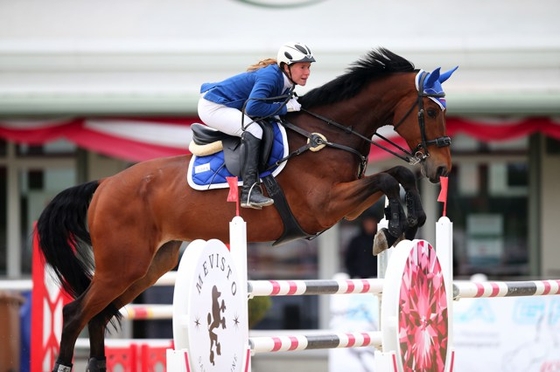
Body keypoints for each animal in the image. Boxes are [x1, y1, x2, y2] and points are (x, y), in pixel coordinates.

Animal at [35, 48, 458, 370]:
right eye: (431, 112)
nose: (442, 169)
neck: (328, 136)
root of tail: (103, 186)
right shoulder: (324, 207)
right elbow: (389, 178)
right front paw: (397, 227)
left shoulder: (346, 208)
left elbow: (398, 174)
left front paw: (402, 226)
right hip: (121, 265)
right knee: (76, 313)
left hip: (147, 267)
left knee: (99, 315)